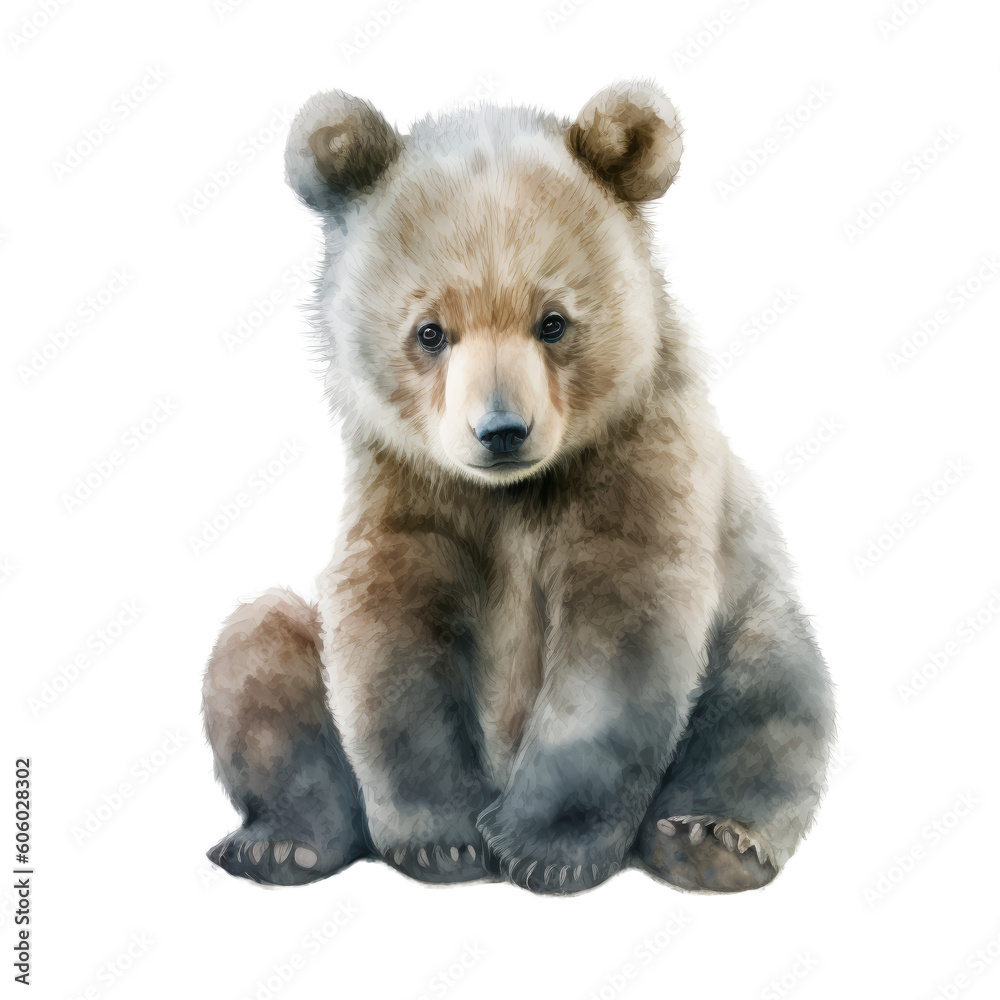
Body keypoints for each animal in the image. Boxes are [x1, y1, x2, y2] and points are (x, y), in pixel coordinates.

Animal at [202, 80, 835, 895]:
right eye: (430, 331)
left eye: (554, 321)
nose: (501, 430)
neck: (514, 492)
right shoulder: (409, 485)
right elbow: (389, 637)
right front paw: (443, 842)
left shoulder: (639, 462)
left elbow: (619, 636)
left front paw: (543, 847)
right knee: (260, 646)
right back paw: (284, 842)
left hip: (750, 613)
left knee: (776, 690)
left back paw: (709, 840)